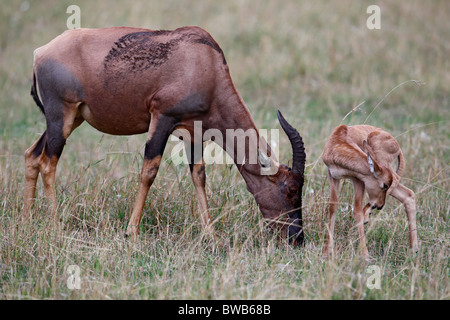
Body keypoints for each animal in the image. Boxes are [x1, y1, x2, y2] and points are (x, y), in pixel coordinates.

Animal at [23, 25, 306, 245]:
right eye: (291, 189)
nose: (297, 239)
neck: (204, 61)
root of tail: (40, 52)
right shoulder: (161, 118)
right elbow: (149, 171)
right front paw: (131, 233)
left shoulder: (194, 135)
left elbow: (199, 176)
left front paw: (211, 235)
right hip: (61, 115)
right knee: (48, 163)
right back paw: (56, 226)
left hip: (71, 119)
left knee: (32, 154)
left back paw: (29, 217)